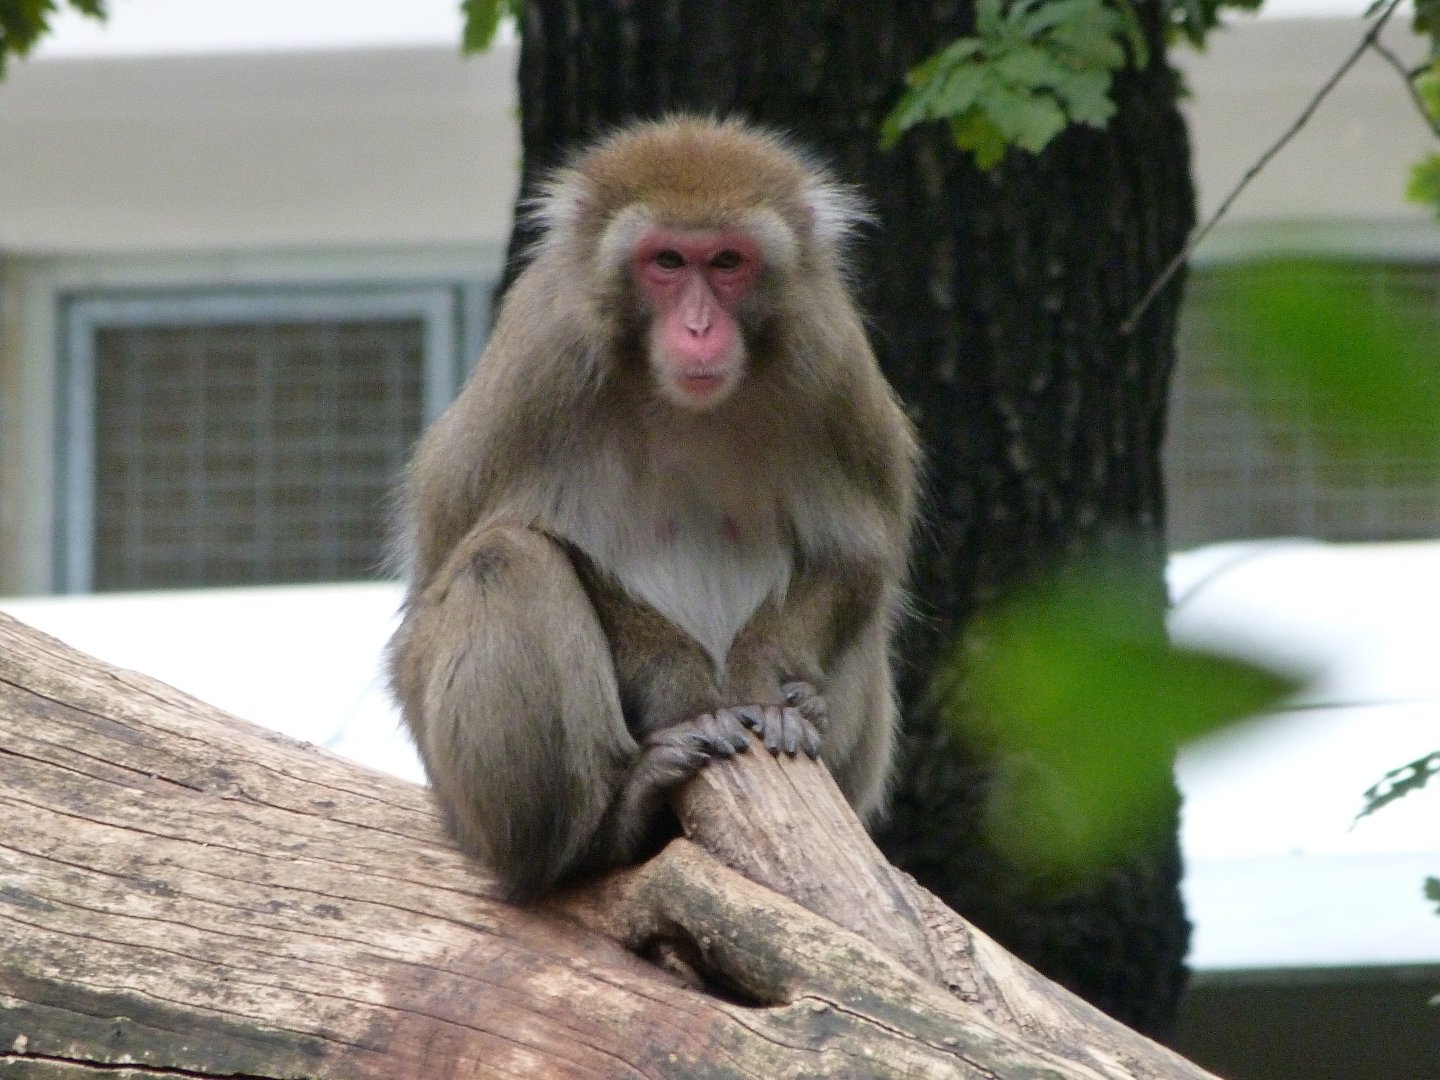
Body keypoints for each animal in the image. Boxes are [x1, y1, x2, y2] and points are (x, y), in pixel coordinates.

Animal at [387, 115, 920, 900]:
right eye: (666, 261)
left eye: (726, 261)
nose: (698, 328)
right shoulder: (540, 364)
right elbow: (472, 561)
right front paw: (687, 693)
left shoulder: (832, 365)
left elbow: (855, 557)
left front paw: (769, 692)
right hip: (466, 804)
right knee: (504, 558)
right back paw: (599, 831)